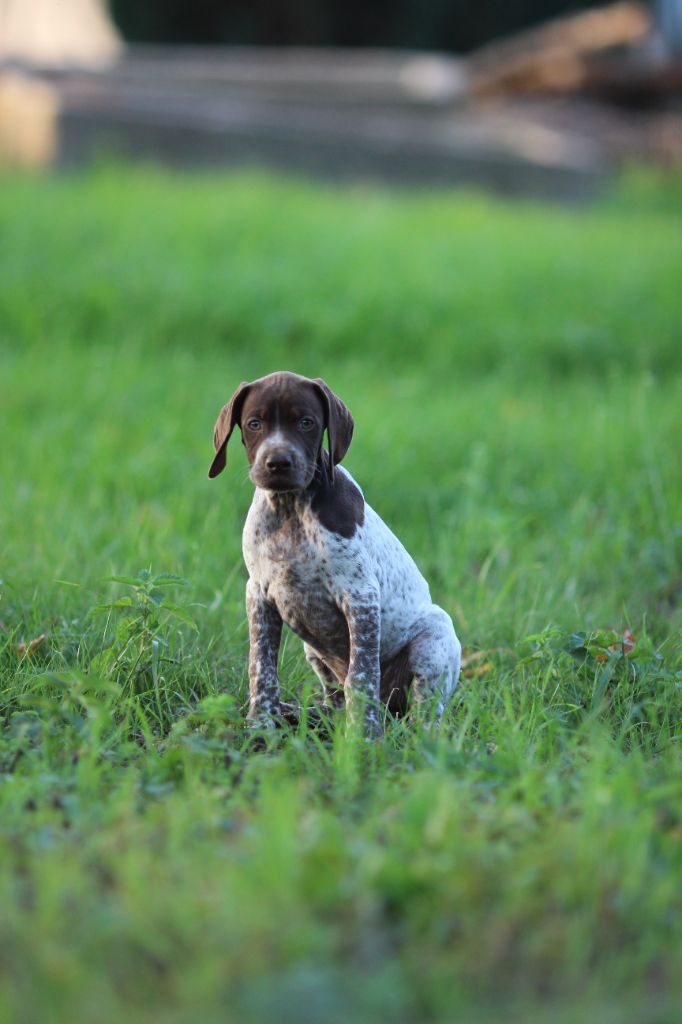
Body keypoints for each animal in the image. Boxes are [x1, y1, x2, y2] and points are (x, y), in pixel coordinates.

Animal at [208, 372, 462, 741]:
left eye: (306, 422)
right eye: (255, 423)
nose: (278, 463)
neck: (290, 509)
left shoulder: (360, 597)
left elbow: (362, 674)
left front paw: (365, 737)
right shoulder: (259, 595)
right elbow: (261, 667)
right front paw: (260, 725)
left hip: (435, 638)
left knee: (423, 715)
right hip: (314, 654)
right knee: (335, 701)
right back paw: (304, 716)